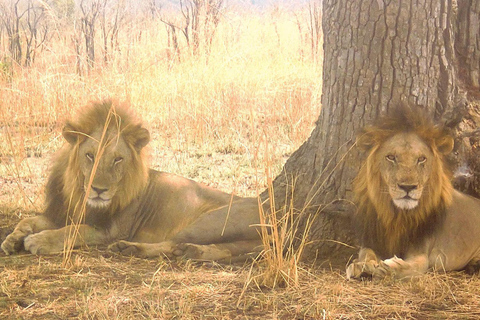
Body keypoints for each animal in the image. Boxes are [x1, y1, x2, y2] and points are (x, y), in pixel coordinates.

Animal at [0, 100, 262, 262]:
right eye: (90, 155)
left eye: (118, 159)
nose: (99, 190)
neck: (79, 193)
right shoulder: (61, 213)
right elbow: (27, 220)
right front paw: (12, 240)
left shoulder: (111, 230)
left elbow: (74, 231)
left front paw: (39, 240)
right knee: (220, 249)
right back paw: (188, 252)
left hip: (209, 221)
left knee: (173, 243)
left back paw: (134, 247)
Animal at [346, 106, 480, 278]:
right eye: (391, 157)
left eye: (421, 159)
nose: (408, 187)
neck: (397, 216)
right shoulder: (373, 240)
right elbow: (366, 253)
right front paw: (360, 266)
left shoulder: (422, 254)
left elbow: (410, 267)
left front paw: (388, 266)